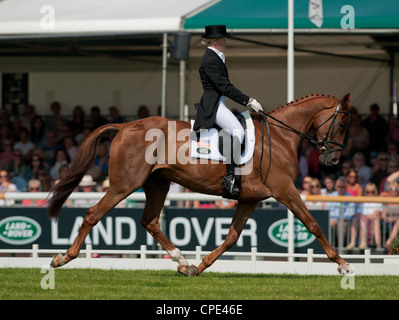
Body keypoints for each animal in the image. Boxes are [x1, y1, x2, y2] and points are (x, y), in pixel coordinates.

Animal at [48, 92, 354, 276]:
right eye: (341, 124)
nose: (331, 160)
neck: (279, 137)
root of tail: (125, 126)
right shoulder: (285, 190)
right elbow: (313, 224)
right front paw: (344, 265)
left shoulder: (249, 198)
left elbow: (231, 237)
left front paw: (200, 266)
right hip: (124, 185)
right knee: (93, 214)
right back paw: (63, 258)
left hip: (158, 183)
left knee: (150, 221)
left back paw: (183, 262)